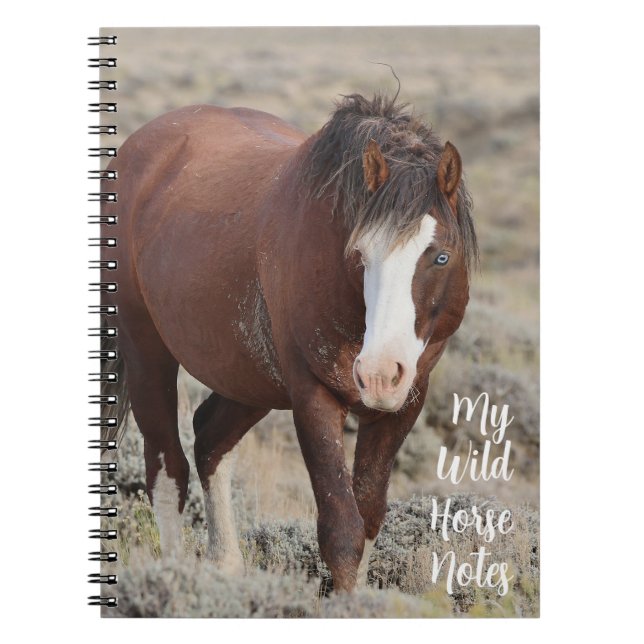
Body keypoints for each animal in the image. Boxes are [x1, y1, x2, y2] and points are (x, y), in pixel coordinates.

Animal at [101, 93, 477, 592]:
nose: (379, 374)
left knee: (209, 441)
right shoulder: (313, 398)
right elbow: (341, 532)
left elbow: (369, 520)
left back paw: (225, 567)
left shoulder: (404, 405)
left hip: (248, 381)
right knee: (168, 473)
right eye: (360, 254)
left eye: (441, 257)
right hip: (148, 354)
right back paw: (172, 579)